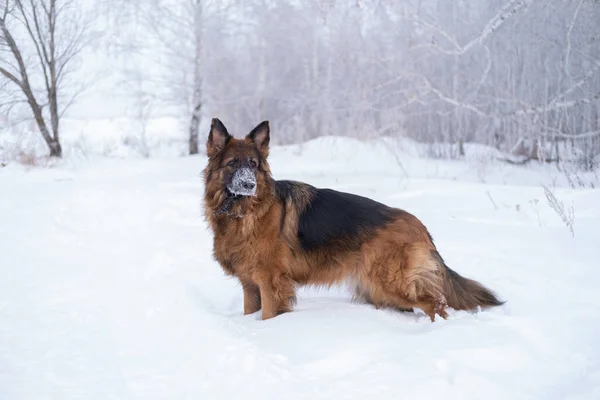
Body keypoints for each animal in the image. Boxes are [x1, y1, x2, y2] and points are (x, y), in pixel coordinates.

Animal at [202, 119, 502, 322]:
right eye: (232, 163)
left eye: (253, 165)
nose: (249, 185)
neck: (242, 212)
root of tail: (419, 225)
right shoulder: (250, 284)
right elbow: (249, 311)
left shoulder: (270, 283)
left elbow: (268, 315)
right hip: (379, 289)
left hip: (391, 283)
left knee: (437, 303)